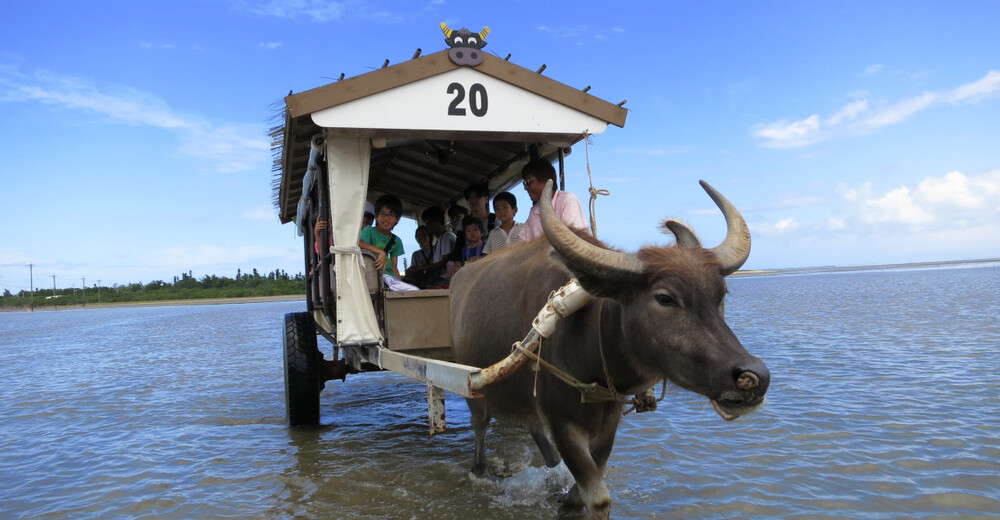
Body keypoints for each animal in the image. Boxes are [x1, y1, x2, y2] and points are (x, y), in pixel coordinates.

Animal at [450, 180, 769, 519]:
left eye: (721, 294)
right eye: (665, 298)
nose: (755, 376)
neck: (590, 337)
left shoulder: (608, 419)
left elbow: (584, 488)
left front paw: (565, 498)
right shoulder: (563, 422)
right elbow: (597, 497)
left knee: (534, 429)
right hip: (475, 389)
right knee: (480, 426)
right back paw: (481, 469)